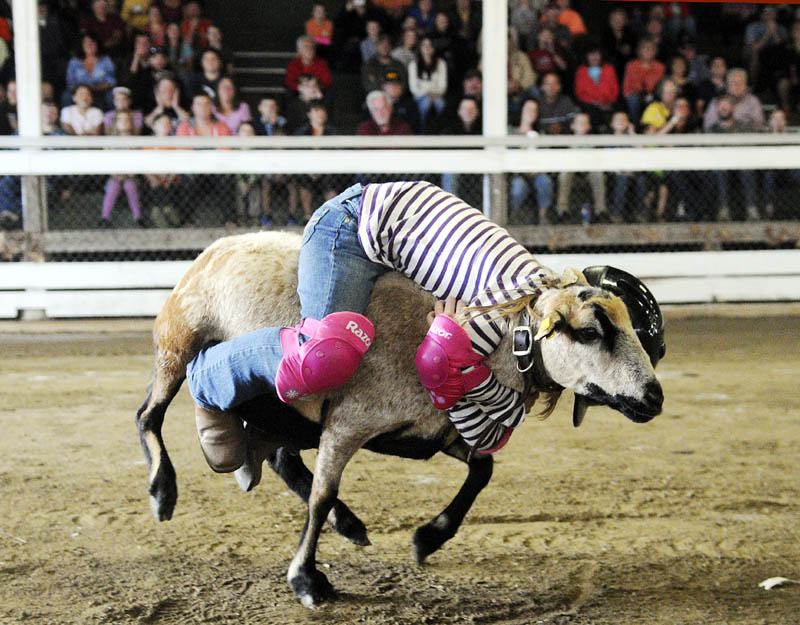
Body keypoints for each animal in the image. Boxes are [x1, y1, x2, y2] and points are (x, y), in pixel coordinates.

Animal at [135, 230, 663, 608]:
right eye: (591, 332)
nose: (655, 397)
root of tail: (217, 246)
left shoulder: (436, 430)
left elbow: (483, 470)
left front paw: (429, 538)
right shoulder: (348, 424)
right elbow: (321, 495)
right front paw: (306, 579)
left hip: (286, 409)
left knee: (283, 459)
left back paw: (338, 517)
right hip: (176, 344)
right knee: (149, 415)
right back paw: (164, 490)